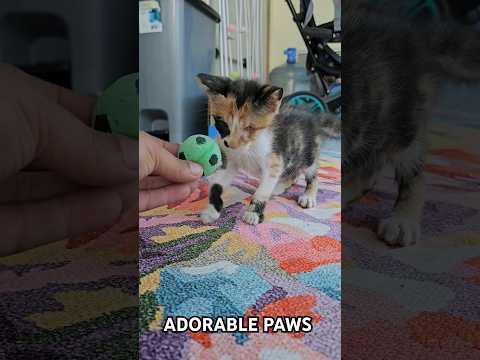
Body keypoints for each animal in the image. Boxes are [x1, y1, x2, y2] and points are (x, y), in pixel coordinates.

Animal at [197, 73, 340, 225]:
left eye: (249, 128)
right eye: (223, 124)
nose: (231, 144)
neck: (248, 148)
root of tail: (314, 116)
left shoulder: (274, 160)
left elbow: (263, 190)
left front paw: (253, 213)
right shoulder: (230, 161)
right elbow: (216, 183)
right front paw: (211, 211)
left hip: (308, 153)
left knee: (311, 173)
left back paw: (308, 196)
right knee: (292, 172)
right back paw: (280, 186)